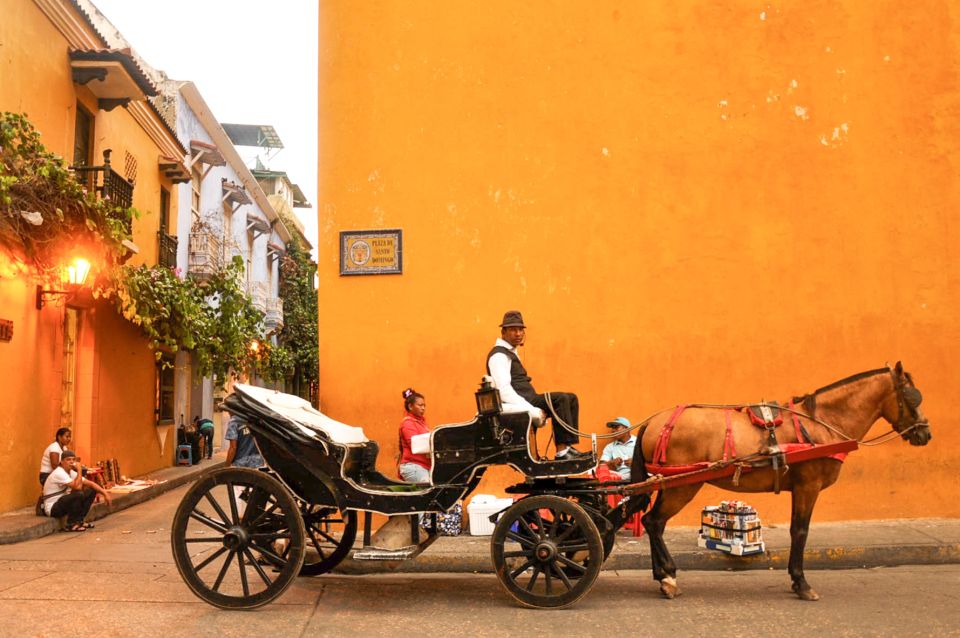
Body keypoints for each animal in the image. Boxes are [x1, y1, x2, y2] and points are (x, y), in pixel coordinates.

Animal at [636, 362, 928, 604]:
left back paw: (661, 575)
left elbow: (796, 530)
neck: (822, 424)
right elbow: (800, 531)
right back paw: (668, 577)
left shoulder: (800, 487)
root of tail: (655, 423)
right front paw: (801, 583)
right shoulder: (808, 486)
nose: (926, 432)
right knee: (654, 522)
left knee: (652, 523)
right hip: (682, 485)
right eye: (912, 397)